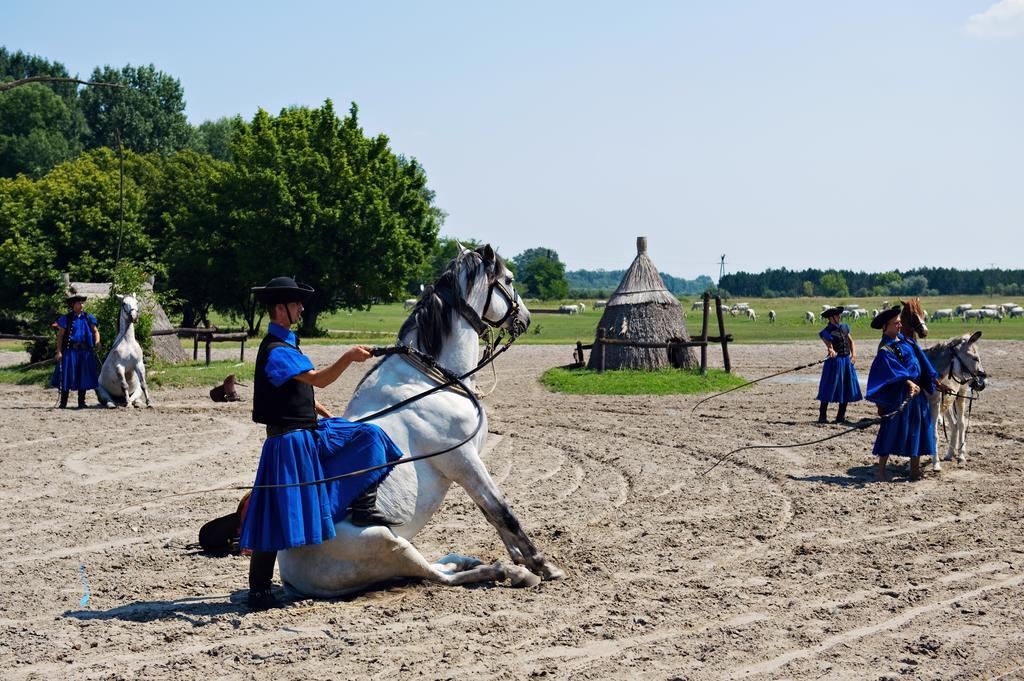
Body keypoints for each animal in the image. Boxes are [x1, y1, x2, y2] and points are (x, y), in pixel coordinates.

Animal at [278, 244, 569, 593]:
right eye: (509, 279)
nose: (525, 317)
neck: (430, 381)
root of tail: (290, 571)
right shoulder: (463, 460)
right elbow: (501, 511)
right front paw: (540, 565)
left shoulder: (468, 465)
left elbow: (489, 512)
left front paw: (519, 555)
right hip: (388, 544)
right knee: (437, 576)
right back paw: (507, 572)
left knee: (439, 567)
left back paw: (471, 560)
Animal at [925, 331, 987, 471]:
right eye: (975, 358)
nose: (983, 383)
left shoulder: (934, 405)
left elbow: (934, 435)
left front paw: (936, 464)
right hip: (947, 402)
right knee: (954, 425)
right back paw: (949, 454)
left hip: (960, 397)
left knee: (961, 423)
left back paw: (961, 456)